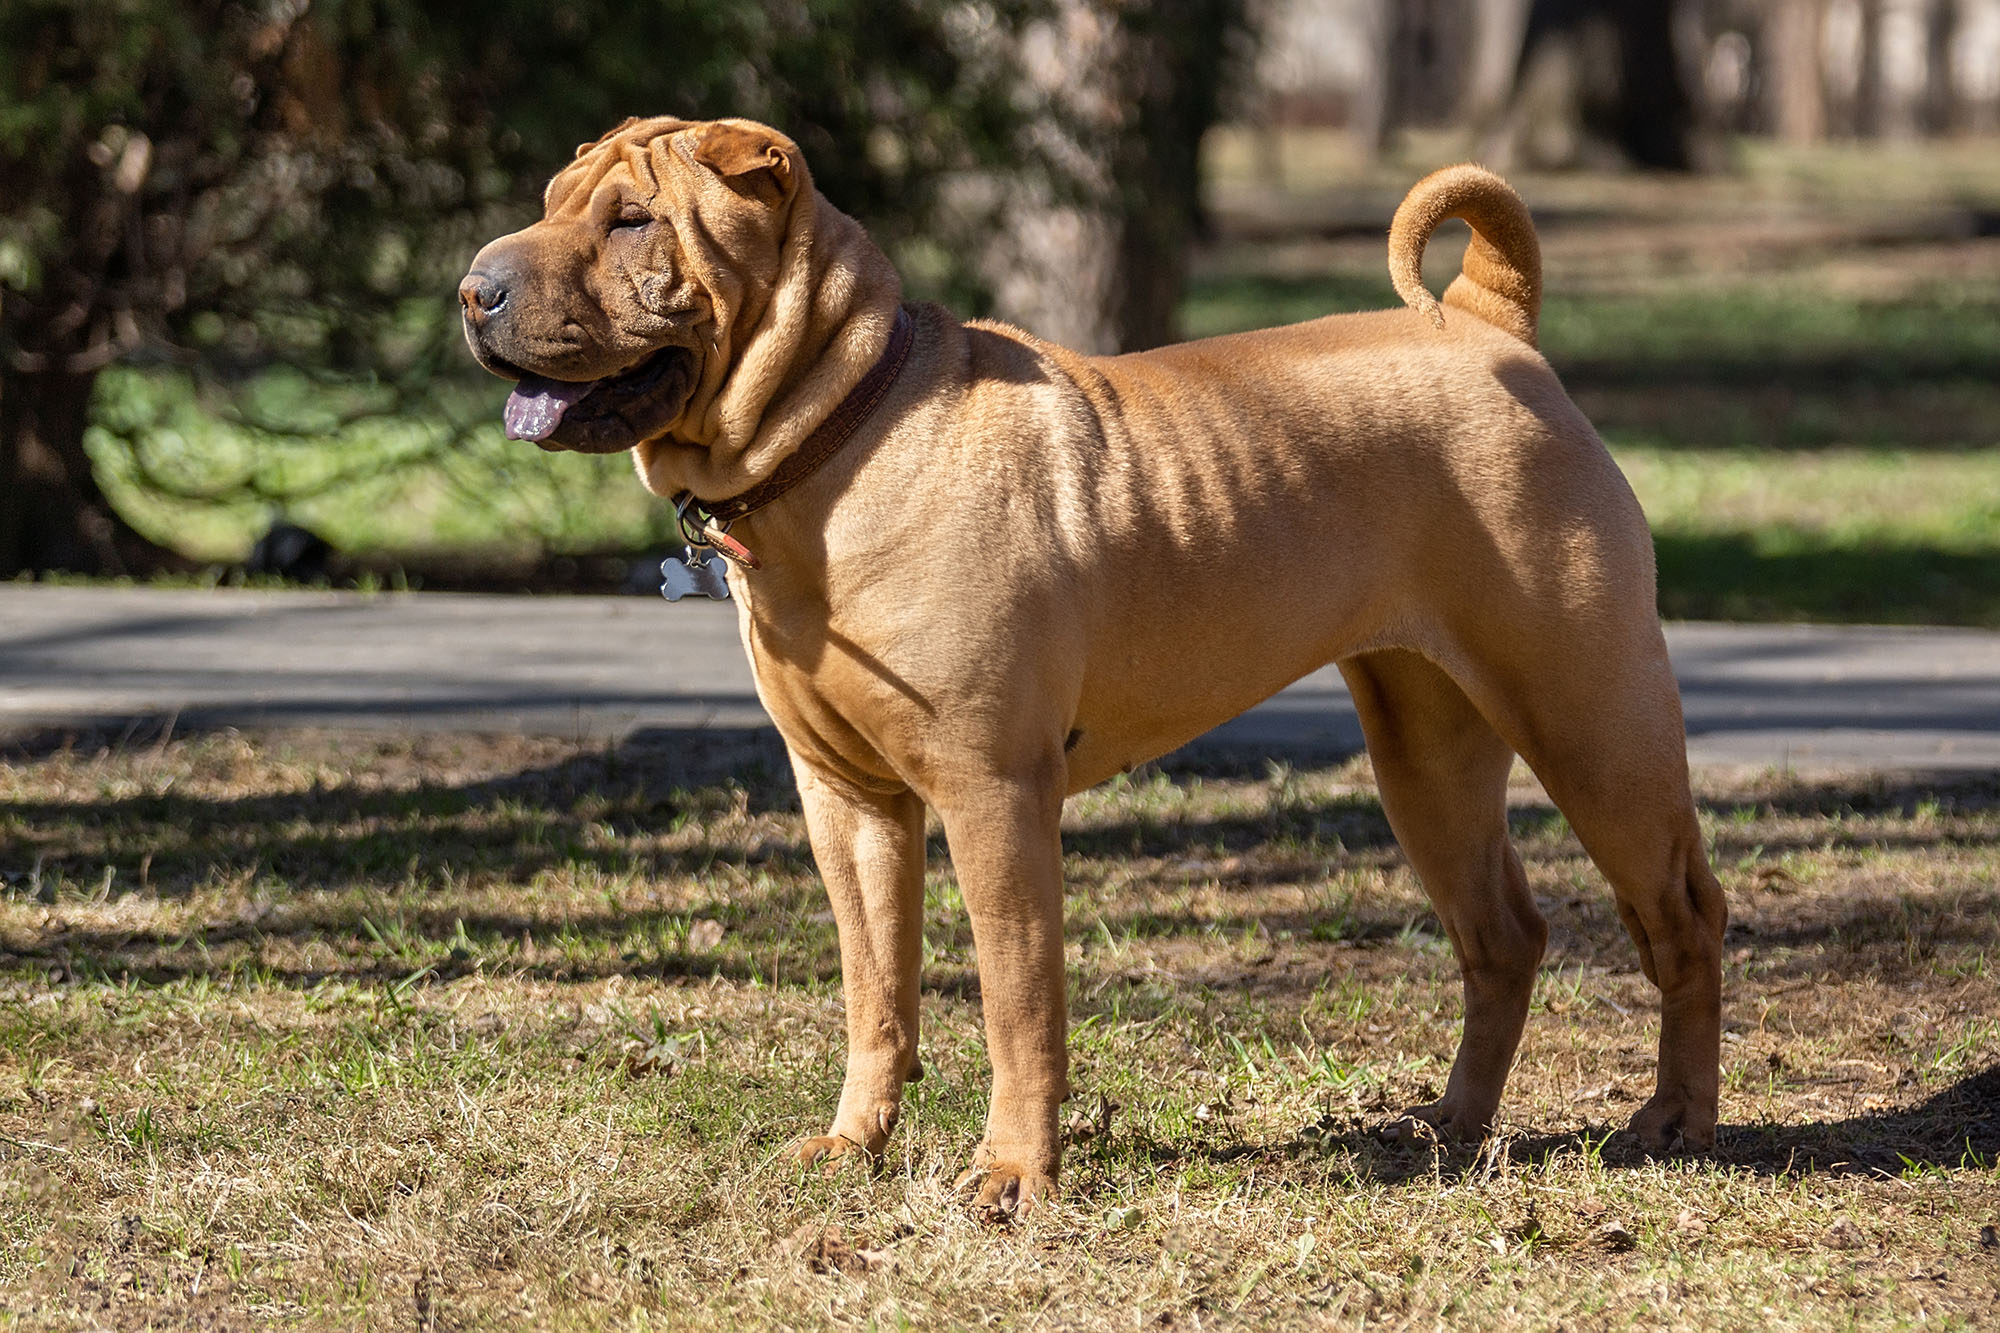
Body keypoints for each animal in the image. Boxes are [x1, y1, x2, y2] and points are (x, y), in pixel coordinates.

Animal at [460, 116, 1728, 1216]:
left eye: (631, 221)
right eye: (550, 204)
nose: (472, 290)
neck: (836, 439)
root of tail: (1487, 322)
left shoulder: (992, 796)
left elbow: (1016, 1003)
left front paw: (1012, 1174)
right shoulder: (848, 801)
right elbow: (877, 995)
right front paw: (852, 1145)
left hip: (1589, 722)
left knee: (1680, 914)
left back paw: (1674, 1121)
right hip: (1424, 753)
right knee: (1501, 934)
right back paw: (1450, 1126)